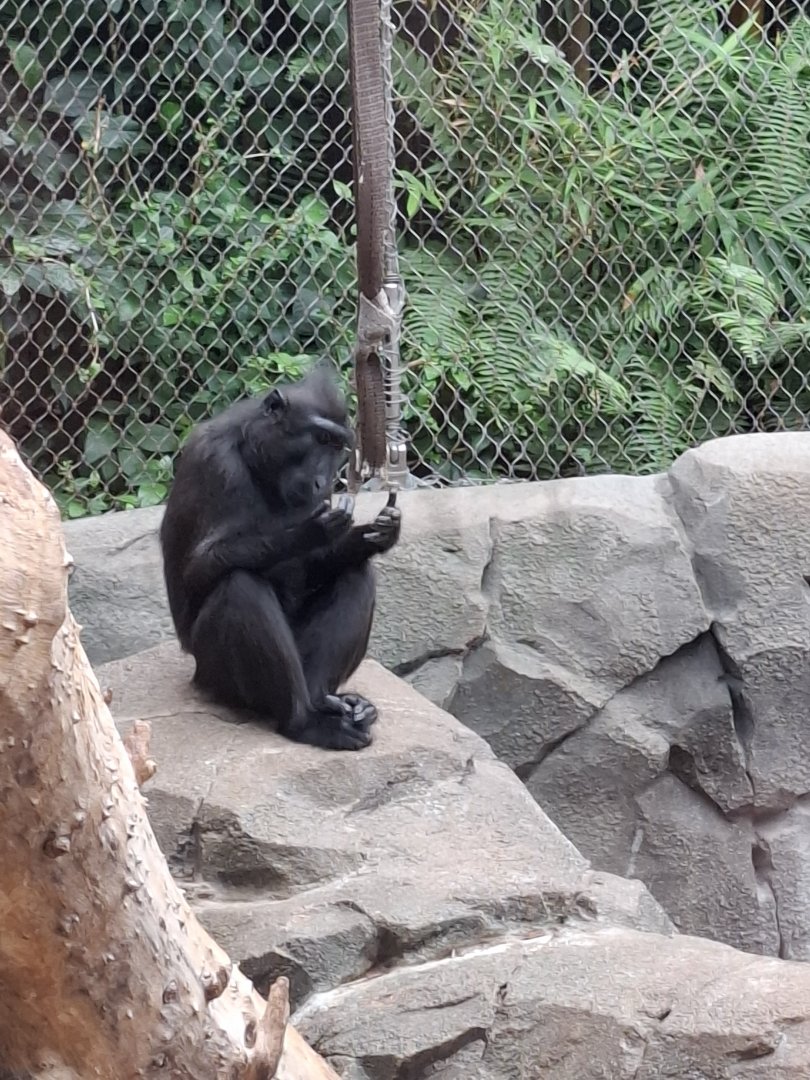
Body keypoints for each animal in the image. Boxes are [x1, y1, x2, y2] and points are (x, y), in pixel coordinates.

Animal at [159, 366, 401, 750]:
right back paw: (304, 722)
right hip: (212, 673)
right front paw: (310, 531)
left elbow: (315, 568)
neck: (255, 456)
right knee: (240, 587)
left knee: (357, 575)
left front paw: (380, 532)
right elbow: (198, 569)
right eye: (319, 438)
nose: (323, 481)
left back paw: (329, 702)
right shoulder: (216, 463)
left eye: (336, 446)